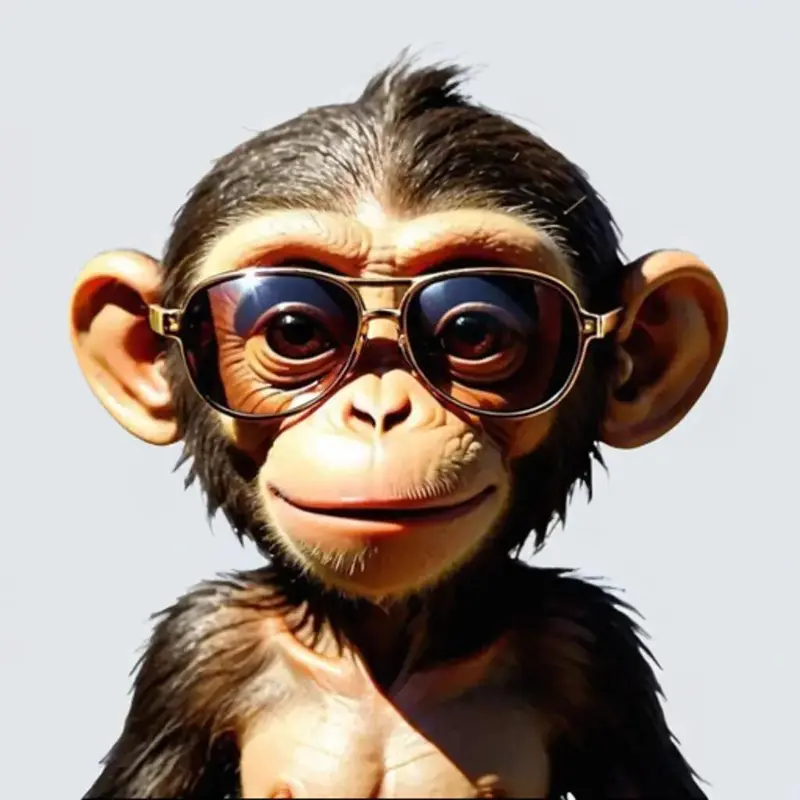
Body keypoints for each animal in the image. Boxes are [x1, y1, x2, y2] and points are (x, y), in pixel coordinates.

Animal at [69, 58, 727, 799]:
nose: (380, 411)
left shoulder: (592, 649)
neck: (385, 644)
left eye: (473, 331)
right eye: (294, 330)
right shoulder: (195, 648)